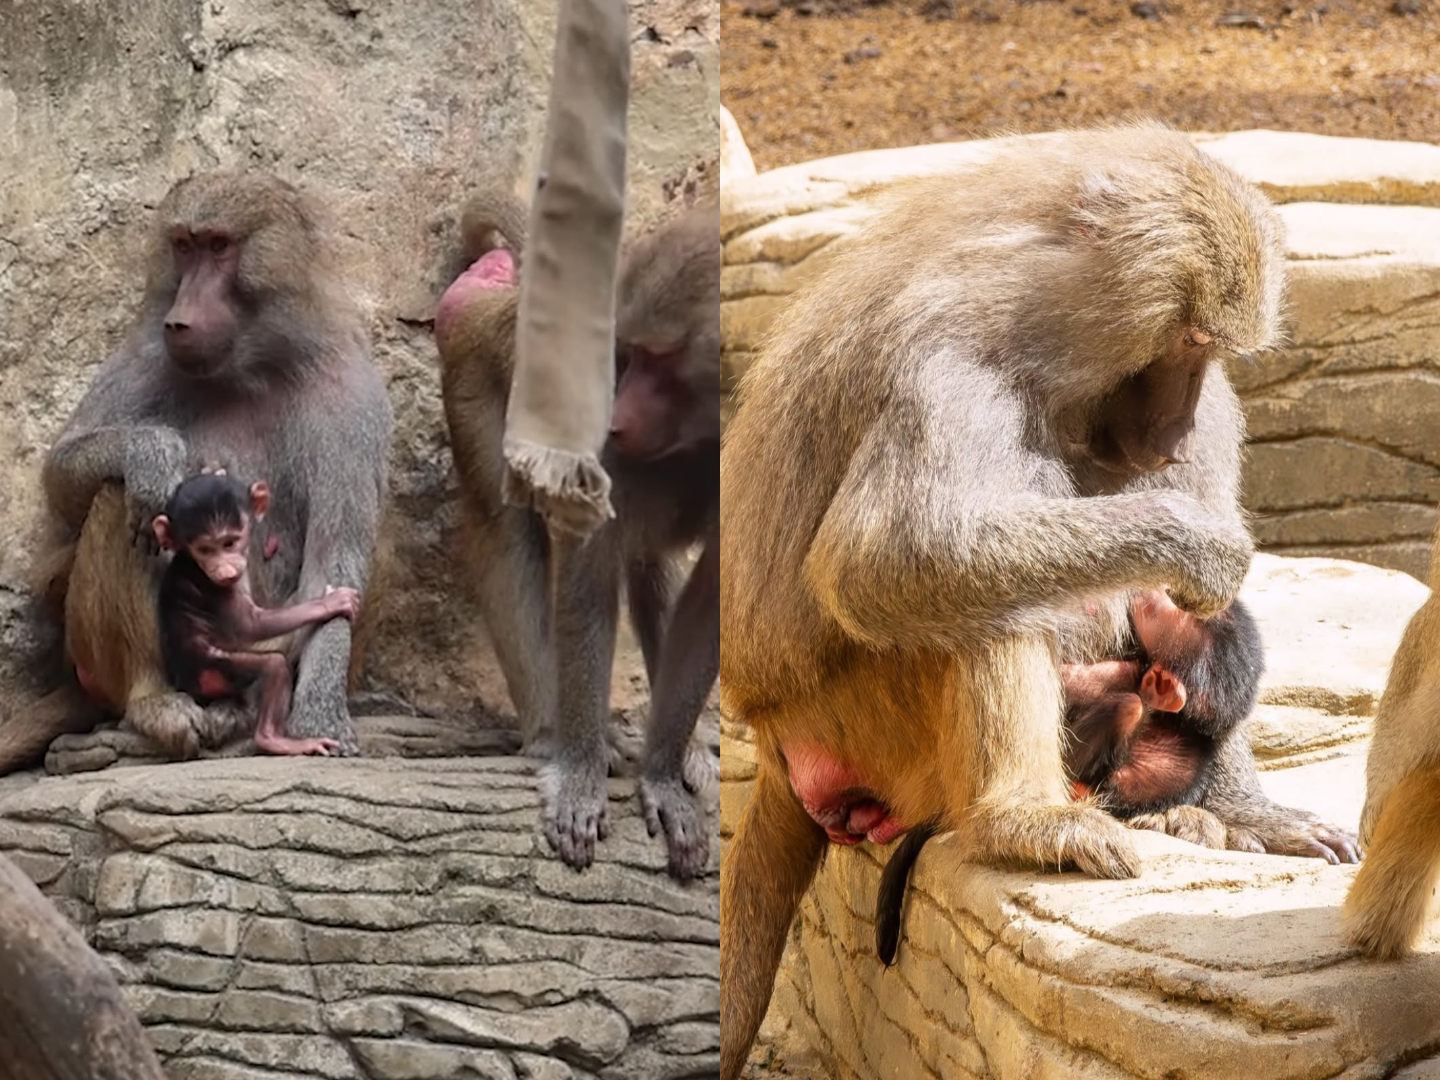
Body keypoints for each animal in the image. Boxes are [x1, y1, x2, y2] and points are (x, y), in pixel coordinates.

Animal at [152, 470, 362, 757]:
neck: (189, 560)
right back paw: (271, 738)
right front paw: (329, 603)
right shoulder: (217, 588)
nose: (224, 567)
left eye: (229, 542)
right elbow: (252, 625)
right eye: (205, 549)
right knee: (273, 665)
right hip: (215, 670)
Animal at [436, 191, 720, 880]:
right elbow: (585, 585)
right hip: (477, 380)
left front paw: (665, 776)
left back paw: (689, 751)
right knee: (507, 538)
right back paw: (549, 736)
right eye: (628, 356)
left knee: (649, 564)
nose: (615, 418)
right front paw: (581, 777)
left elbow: (709, 600)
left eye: (660, 362)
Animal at [717, 123, 1360, 1075]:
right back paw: (1025, 822)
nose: (1174, 436)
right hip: (864, 725)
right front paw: (1194, 543)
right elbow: (884, 554)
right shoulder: (943, 364)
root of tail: (770, 735)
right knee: (972, 605)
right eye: (1184, 339)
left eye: (1209, 352)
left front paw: (1253, 812)